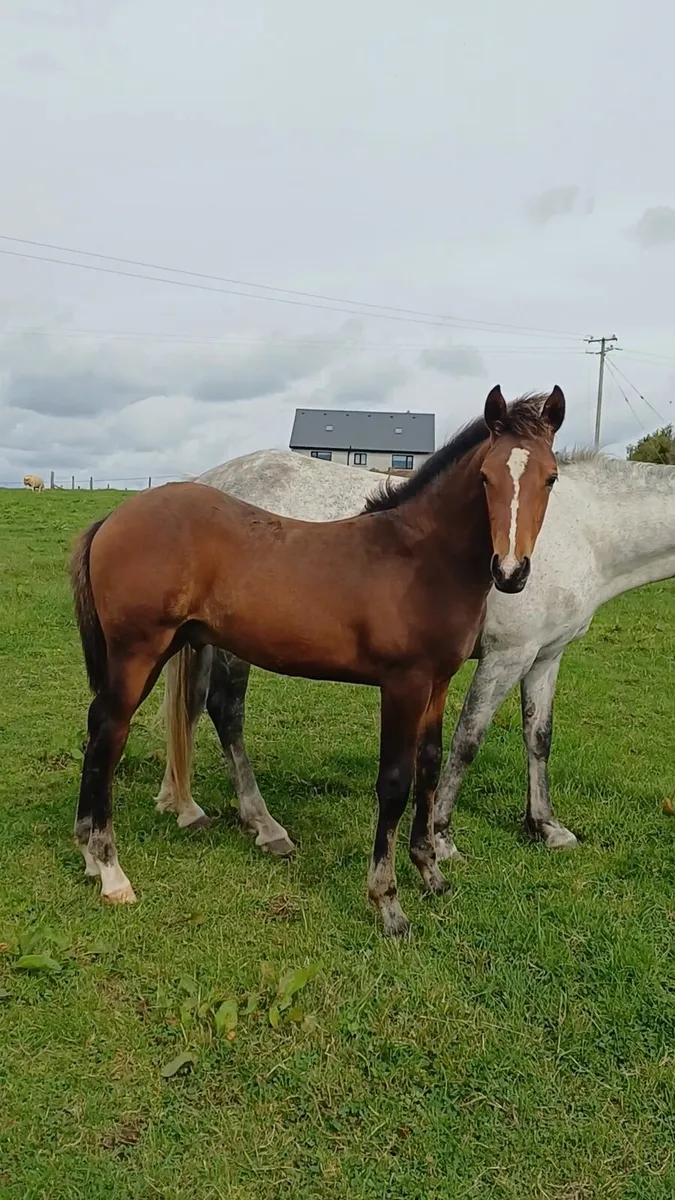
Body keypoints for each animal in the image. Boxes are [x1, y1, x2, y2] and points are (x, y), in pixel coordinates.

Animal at [69, 386, 565, 936]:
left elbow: (430, 768)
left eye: (550, 477)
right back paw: (112, 872)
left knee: (99, 727)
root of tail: (113, 519)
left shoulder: (437, 682)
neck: (421, 560)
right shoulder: (404, 684)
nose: (511, 572)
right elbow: (395, 781)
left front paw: (432, 874)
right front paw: (388, 903)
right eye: (486, 478)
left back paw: (90, 856)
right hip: (138, 652)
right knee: (109, 736)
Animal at [157, 427, 675, 867]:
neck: (582, 529)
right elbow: (467, 741)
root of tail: (211, 480)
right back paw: (265, 825)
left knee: (192, 705)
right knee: (225, 711)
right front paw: (440, 838)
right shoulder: (507, 656)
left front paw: (546, 826)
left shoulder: (545, 656)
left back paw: (182, 804)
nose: (509, 571)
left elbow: (539, 737)